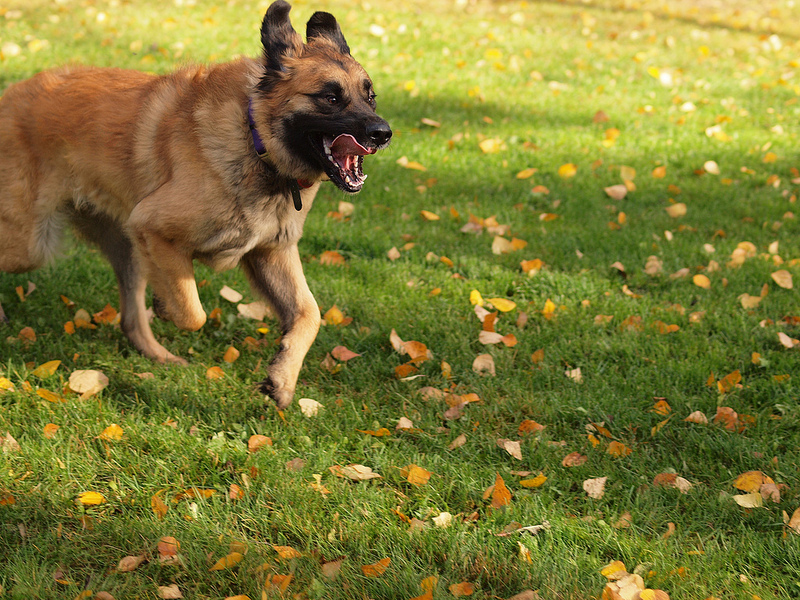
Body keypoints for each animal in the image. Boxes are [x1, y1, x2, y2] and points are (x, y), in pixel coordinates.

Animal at [0, 0, 390, 408]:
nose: (383, 134)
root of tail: (9, 96)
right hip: (31, 247)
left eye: (371, 97)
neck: (254, 139)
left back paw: (159, 355)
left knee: (130, 319)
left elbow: (308, 313)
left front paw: (282, 378)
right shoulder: (153, 228)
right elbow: (193, 313)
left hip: (125, 248)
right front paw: (167, 306)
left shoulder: (270, 252)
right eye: (330, 98)